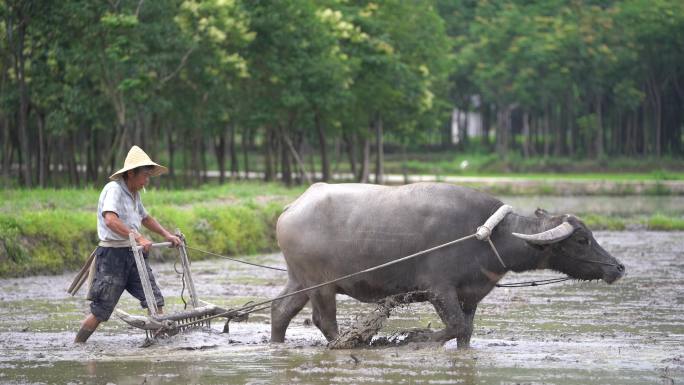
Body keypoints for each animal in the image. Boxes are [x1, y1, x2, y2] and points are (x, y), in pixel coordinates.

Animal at [272, 182, 624, 346]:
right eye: (582, 240)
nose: (617, 267)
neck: (490, 235)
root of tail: (291, 208)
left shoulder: (470, 295)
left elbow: (466, 331)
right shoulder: (439, 290)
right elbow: (453, 327)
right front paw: (415, 337)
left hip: (300, 280)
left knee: (280, 309)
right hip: (321, 285)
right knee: (324, 320)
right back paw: (347, 343)